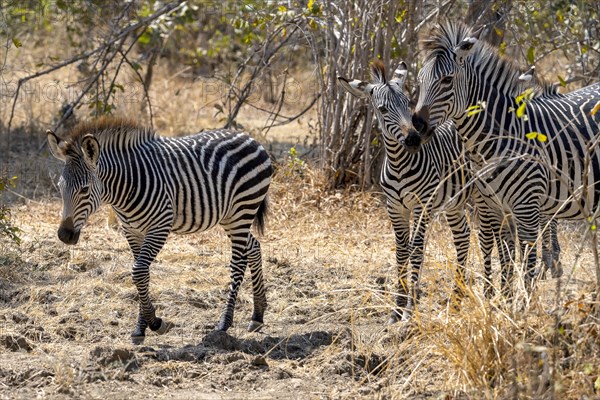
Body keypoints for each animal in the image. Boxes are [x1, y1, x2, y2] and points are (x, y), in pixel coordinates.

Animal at [48, 116, 274, 344]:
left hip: (242, 210)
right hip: (230, 216)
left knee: (238, 263)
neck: (126, 187)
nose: (64, 235)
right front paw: (140, 328)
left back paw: (224, 323)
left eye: (84, 189)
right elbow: (142, 274)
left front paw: (156, 323)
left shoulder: (159, 227)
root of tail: (249, 137)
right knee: (253, 246)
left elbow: (138, 271)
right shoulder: (132, 231)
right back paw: (257, 315)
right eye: (60, 186)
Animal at [338, 60, 474, 322]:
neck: (399, 164)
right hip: (455, 202)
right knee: (463, 236)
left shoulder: (423, 204)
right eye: (382, 109)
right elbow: (401, 251)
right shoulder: (395, 208)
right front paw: (397, 308)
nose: (413, 139)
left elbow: (416, 250)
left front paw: (410, 309)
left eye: (407, 104)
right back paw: (457, 299)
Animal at [412, 19, 600, 294]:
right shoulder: (495, 207)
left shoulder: (527, 207)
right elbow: (506, 255)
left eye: (447, 80)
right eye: (419, 80)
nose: (417, 127)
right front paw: (505, 297)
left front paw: (525, 301)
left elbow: (527, 261)